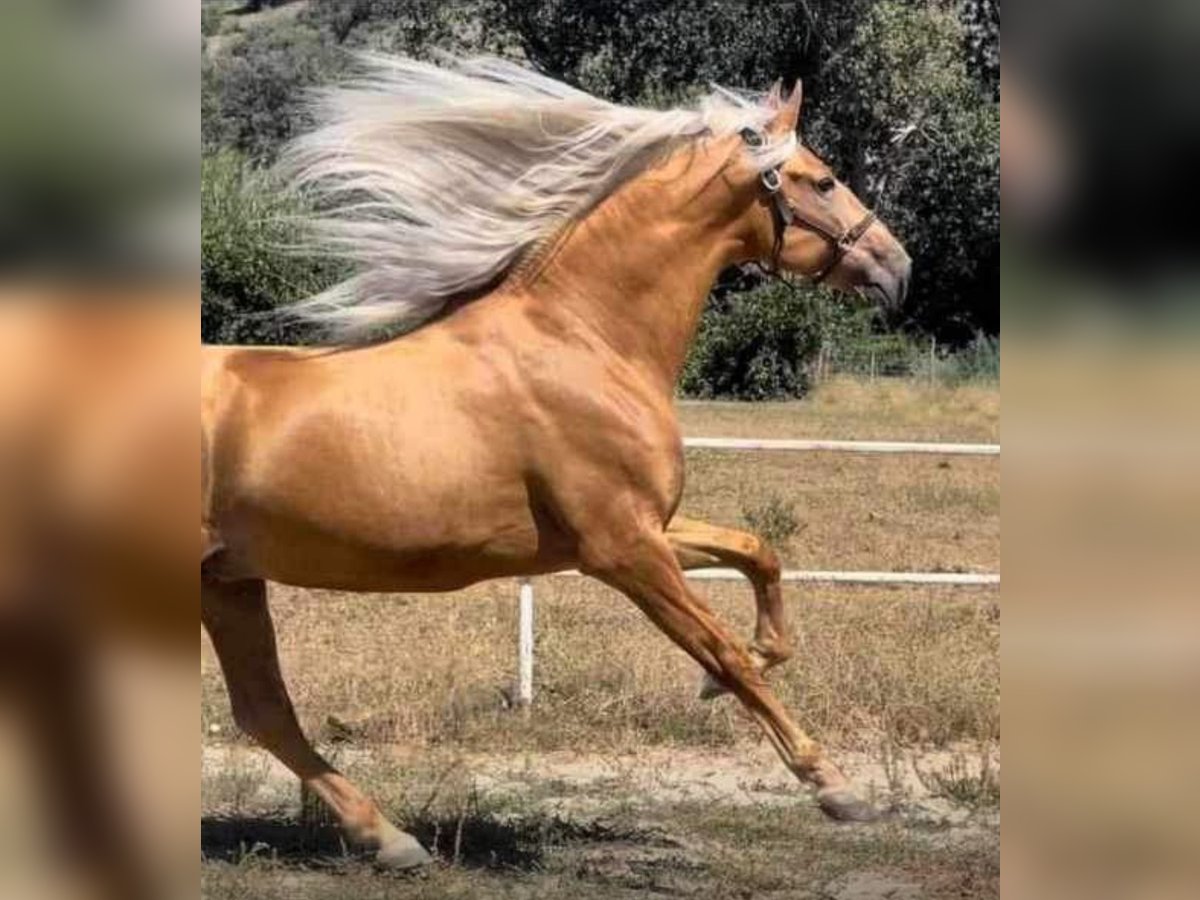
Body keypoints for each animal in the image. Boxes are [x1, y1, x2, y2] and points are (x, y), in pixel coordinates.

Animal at [201, 54, 907, 868]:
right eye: (821, 180)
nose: (899, 268)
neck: (583, 339)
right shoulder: (623, 549)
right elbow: (721, 647)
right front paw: (834, 786)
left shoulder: (639, 530)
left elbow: (756, 552)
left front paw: (749, 665)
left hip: (228, 580)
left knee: (264, 711)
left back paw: (392, 840)